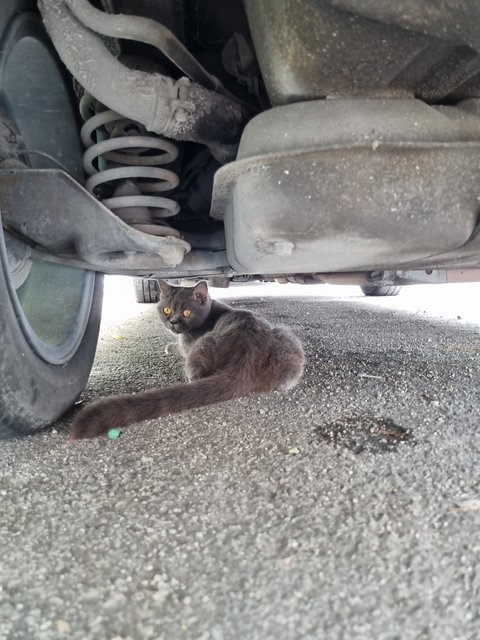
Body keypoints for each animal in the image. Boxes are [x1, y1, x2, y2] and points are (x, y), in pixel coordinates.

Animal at [70, 280, 304, 440]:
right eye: (166, 309)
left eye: (186, 312)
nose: (173, 321)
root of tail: (247, 359)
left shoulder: (188, 344)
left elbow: (178, 346)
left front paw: (169, 346)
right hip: (289, 340)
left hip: (202, 347)